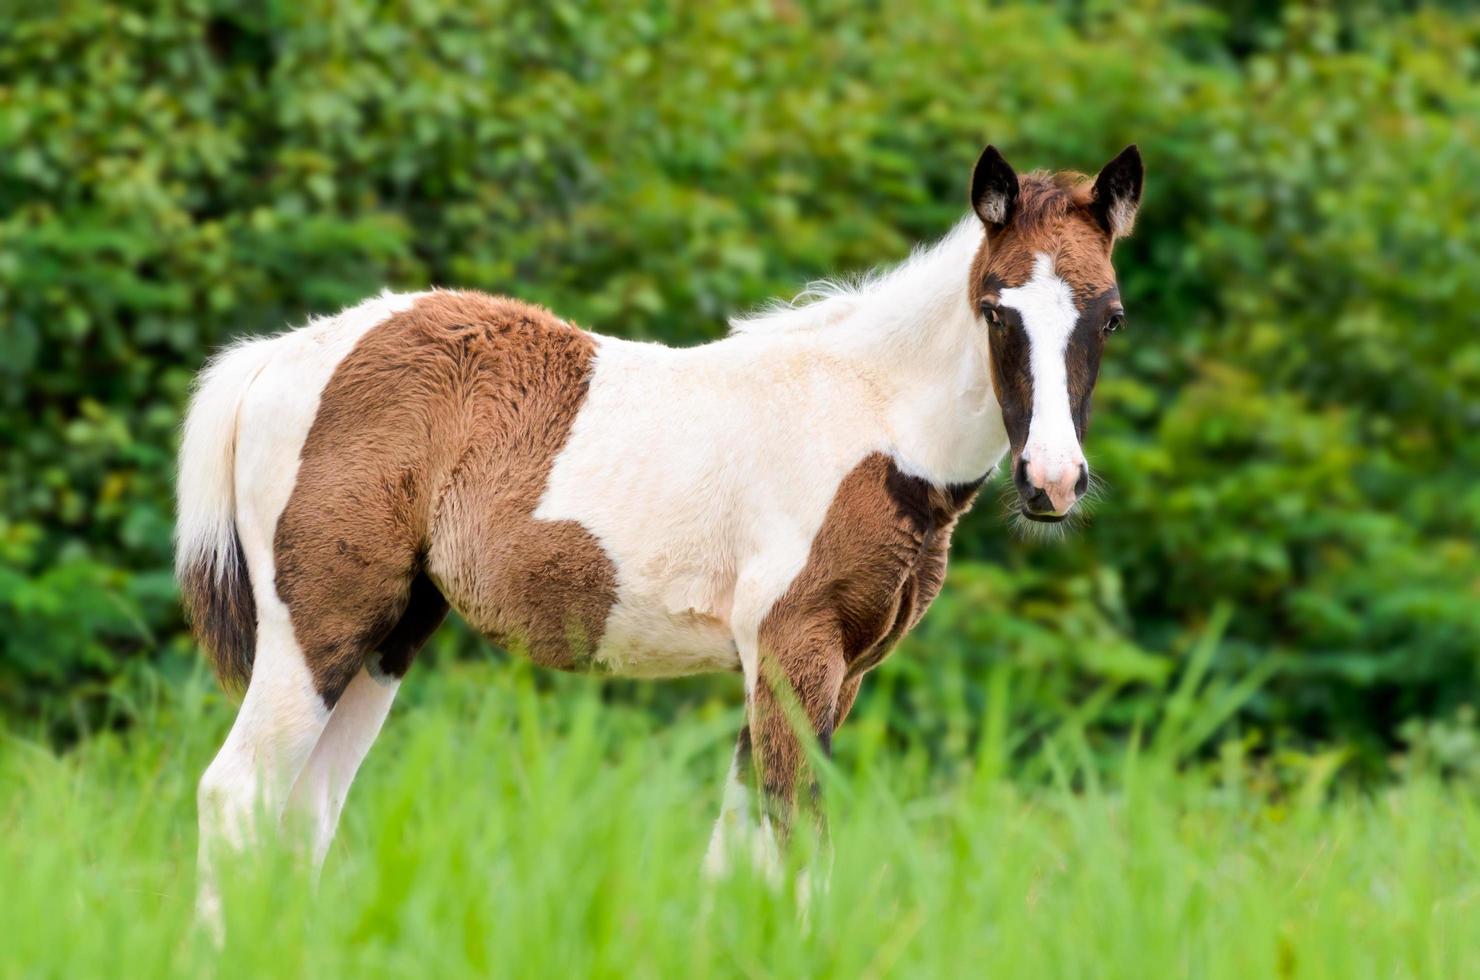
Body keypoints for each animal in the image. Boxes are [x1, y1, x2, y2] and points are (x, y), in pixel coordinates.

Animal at [176, 142, 1142, 917]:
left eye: (1111, 316)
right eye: (996, 308)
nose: (1052, 482)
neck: (874, 420)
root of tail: (277, 355)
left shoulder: (830, 670)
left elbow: (734, 855)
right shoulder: (794, 646)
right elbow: (797, 847)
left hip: (392, 631)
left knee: (304, 811)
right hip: (320, 619)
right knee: (235, 792)